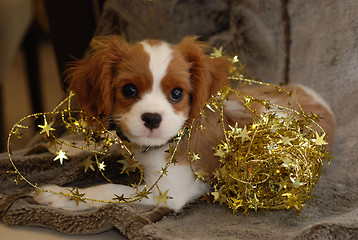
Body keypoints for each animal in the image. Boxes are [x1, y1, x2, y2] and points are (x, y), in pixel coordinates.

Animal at [34, 36, 336, 212]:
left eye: (177, 93)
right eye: (129, 90)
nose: (152, 118)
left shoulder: (163, 193)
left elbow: (108, 190)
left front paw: (59, 195)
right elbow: (113, 143)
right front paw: (67, 147)